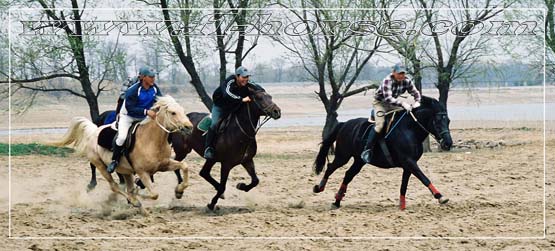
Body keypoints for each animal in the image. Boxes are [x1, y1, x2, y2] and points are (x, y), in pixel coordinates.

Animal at [52, 96, 194, 210]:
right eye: (173, 113)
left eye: (183, 111)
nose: (189, 127)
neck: (151, 140)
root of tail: (94, 132)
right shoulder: (142, 172)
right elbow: (154, 194)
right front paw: (138, 195)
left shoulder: (164, 165)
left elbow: (184, 166)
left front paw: (179, 191)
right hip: (101, 166)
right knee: (114, 186)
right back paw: (133, 201)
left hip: (125, 171)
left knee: (125, 186)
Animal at [314, 96, 454, 210]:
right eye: (437, 121)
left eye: (448, 121)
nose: (448, 143)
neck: (410, 130)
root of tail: (344, 124)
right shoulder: (409, 162)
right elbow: (424, 178)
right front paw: (440, 196)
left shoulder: (408, 165)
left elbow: (404, 185)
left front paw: (402, 206)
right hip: (343, 156)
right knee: (330, 168)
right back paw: (319, 187)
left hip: (359, 161)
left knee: (348, 175)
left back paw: (337, 201)